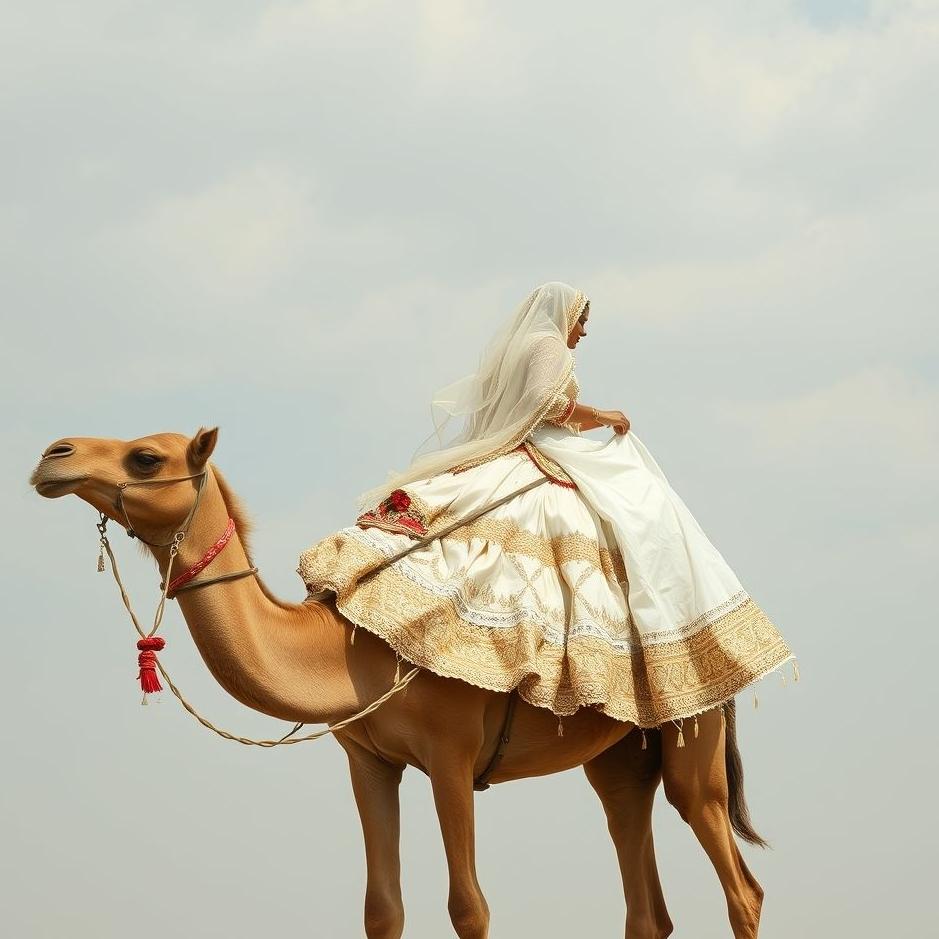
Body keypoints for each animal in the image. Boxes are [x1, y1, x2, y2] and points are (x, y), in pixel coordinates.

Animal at [30, 426, 768, 939]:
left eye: (146, 458)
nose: (52, 455)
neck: (348, 649)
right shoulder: (368, 760)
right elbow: (381, 908)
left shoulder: (451, 754)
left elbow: (468, 905)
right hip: (620, 755)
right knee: (644, 892)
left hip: (694, 733)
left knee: (739, 884)